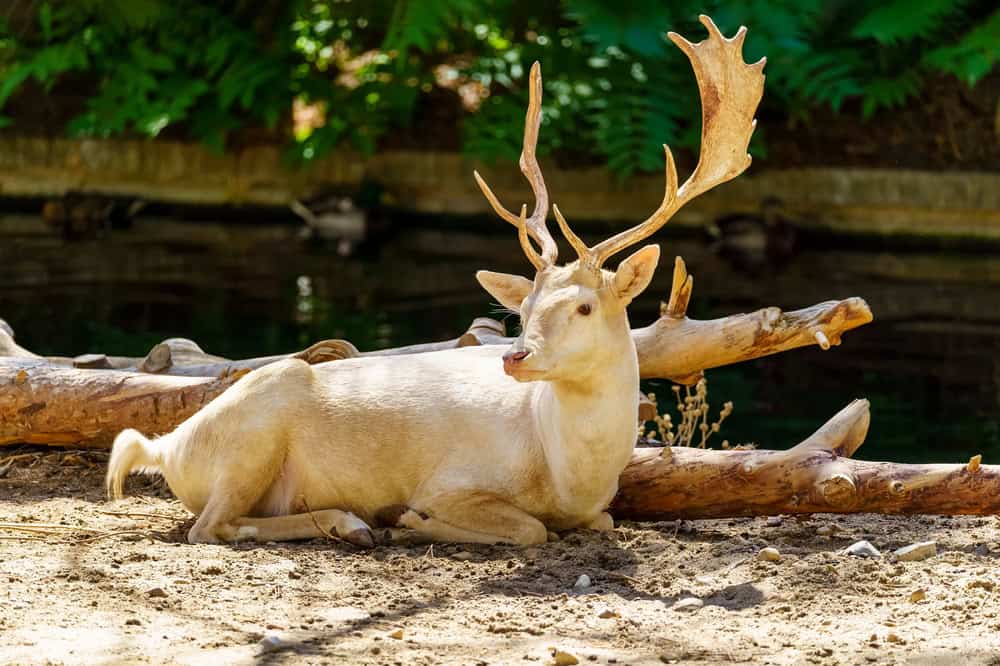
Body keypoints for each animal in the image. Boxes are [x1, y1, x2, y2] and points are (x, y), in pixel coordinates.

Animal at [106, 15, 765, 546]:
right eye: (523, 308)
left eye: (582, 307)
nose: (516, 356)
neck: (565, 472)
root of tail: (169, 446)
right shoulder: (452, 481)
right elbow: (528, 529)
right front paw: (413, 519)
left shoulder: (596, 507)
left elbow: (598, 521)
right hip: (254, 431)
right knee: (209, 526)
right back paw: (357, 522)